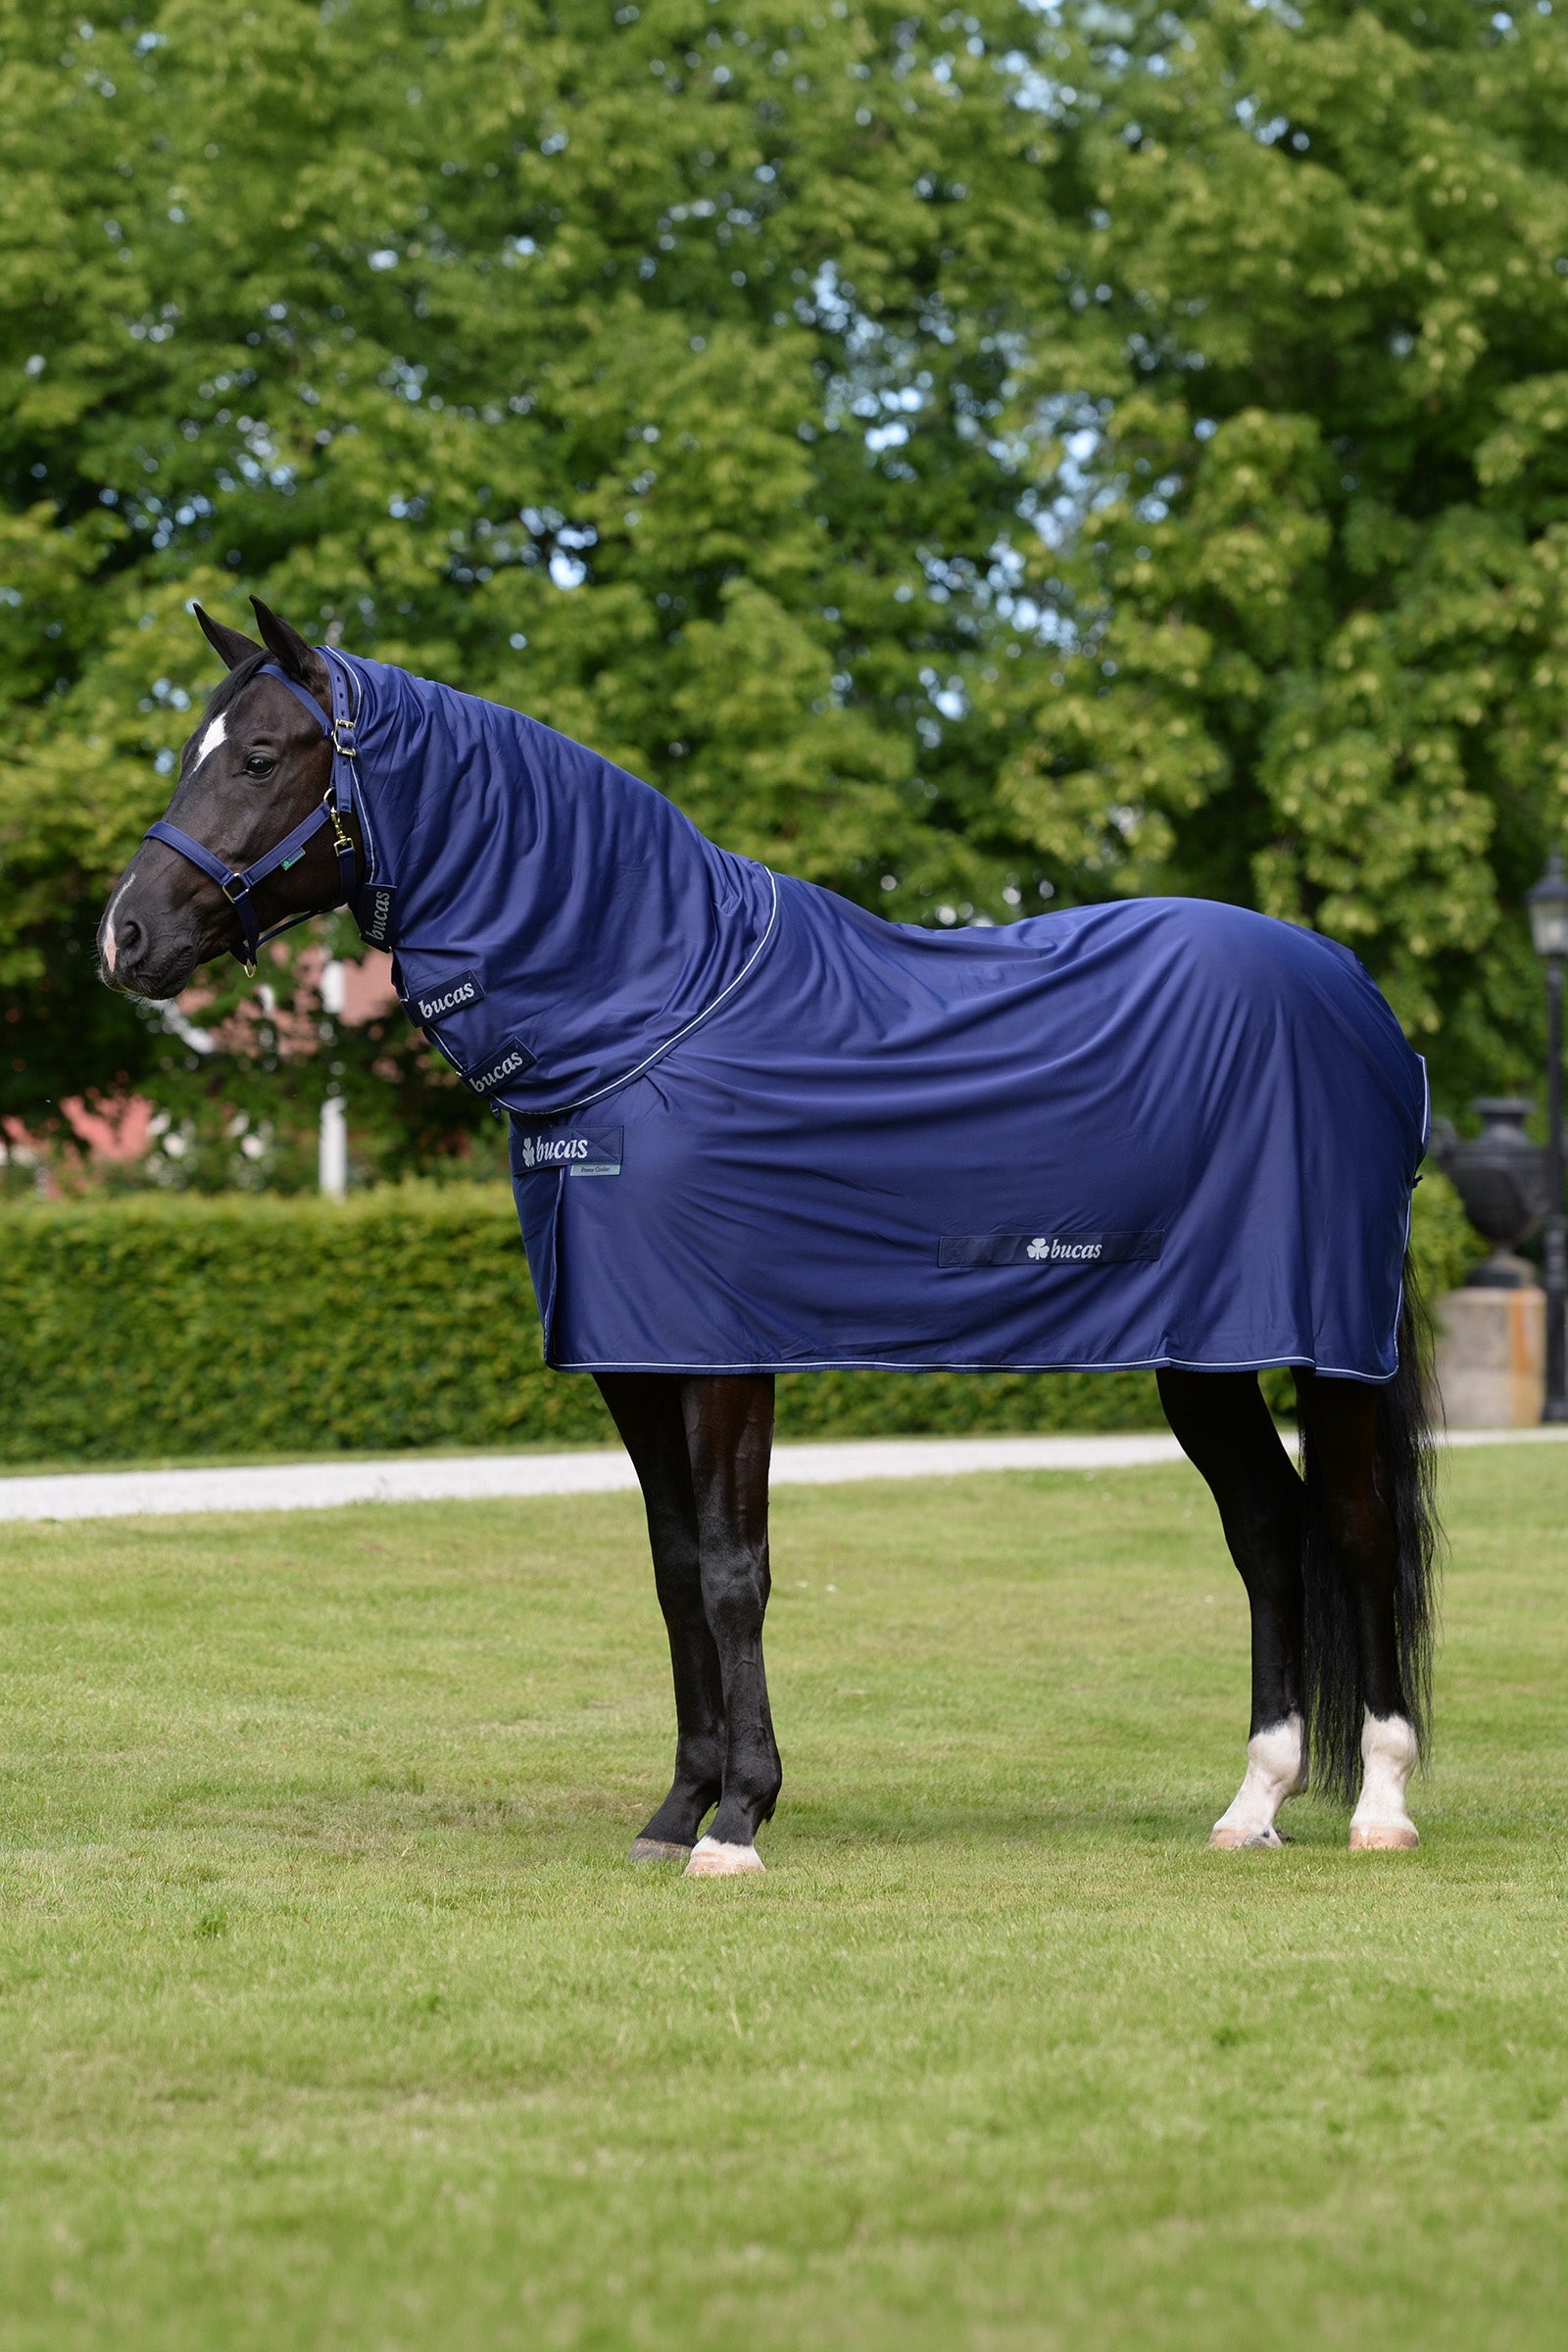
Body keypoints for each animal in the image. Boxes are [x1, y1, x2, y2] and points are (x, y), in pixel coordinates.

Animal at [99, 599, 1440, 1875]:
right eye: (193, 750)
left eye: (259, 755)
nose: (124, 938)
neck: (659, 1008)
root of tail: (1356, 995)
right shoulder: (635, 1360)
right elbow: (674, 1571)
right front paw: (675, 1810)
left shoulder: (724, 1356)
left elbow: (734, 1572)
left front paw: (739, 1821)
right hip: (1201, 1353)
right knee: (1267, 1532)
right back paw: (1252, 1803)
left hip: (1325, 1343)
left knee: (1354, 1530)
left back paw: (1378, 1804)